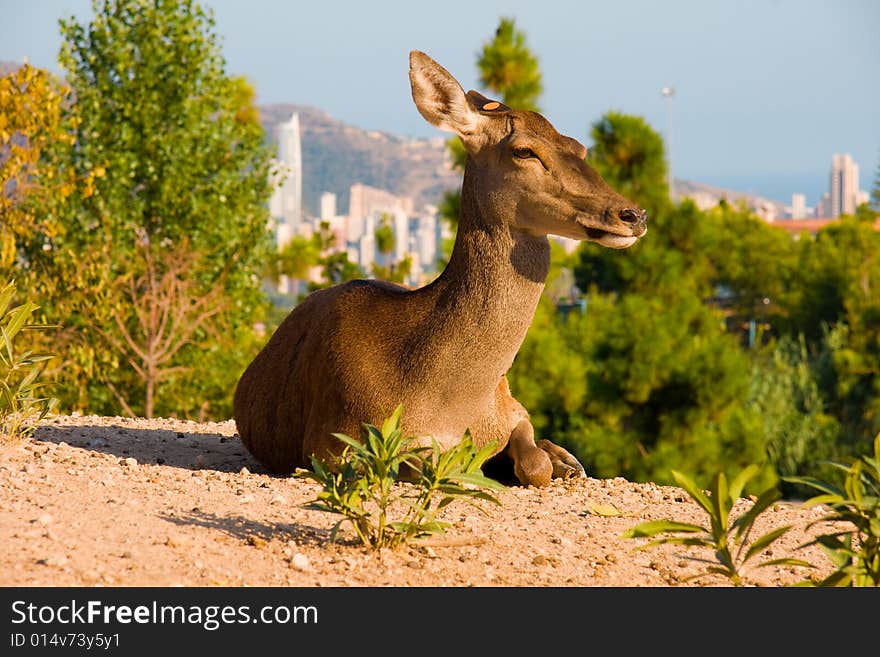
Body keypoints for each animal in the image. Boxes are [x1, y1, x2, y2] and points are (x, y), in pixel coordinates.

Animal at [234, 48, 648, 484]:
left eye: (578, 146)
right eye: (524, 151)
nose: (633, 214)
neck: (448, 406)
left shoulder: (509, 407)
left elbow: (533, 458)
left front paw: (551, 461)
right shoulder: (331, 442)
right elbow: (424, 462)